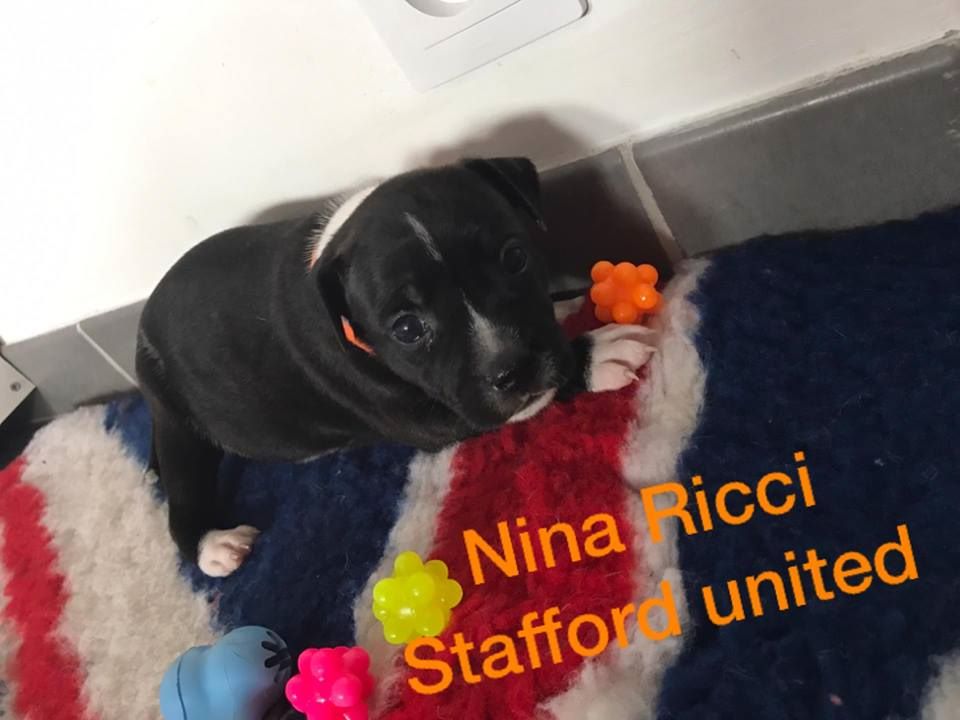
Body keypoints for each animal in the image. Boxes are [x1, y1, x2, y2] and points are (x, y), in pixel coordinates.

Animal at [136, 157, 653, 577]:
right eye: (407, 329)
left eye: (515, 258)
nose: (513, 367)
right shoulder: (436, 416)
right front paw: (598, 354)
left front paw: (576, 303)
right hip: (178, 424)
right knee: (182, 494)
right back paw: (214, 546)